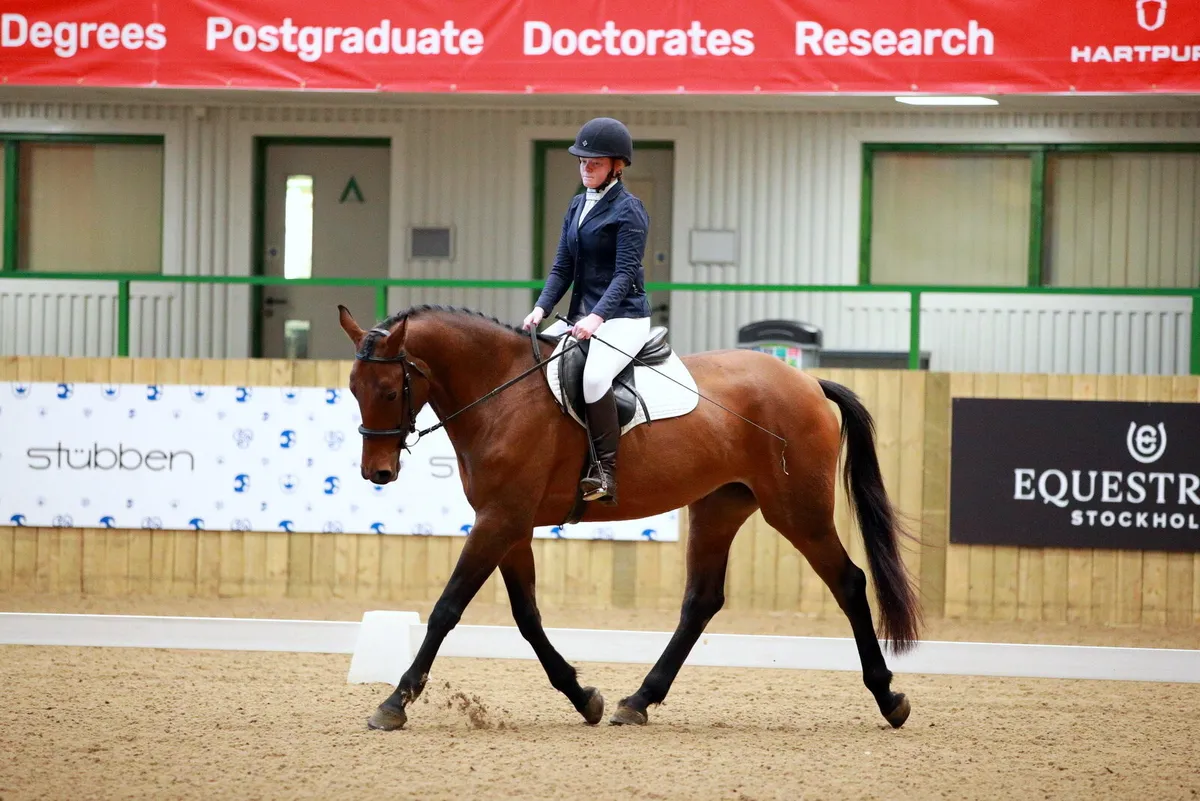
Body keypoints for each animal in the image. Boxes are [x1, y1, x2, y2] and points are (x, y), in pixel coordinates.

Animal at [336, 302, 922, 732]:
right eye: (352, 389)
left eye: (388, 389)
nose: (377, 473)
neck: (501, 393)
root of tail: (809, 383)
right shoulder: (510, 524)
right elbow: (527, 617)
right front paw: (583, 697)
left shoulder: (499, 520)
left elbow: (447, 608)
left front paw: (395, 702)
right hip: (719, 507)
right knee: (701, 601)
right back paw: (637, 700)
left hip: (798, 512)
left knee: (848, 582)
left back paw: (889, 697)